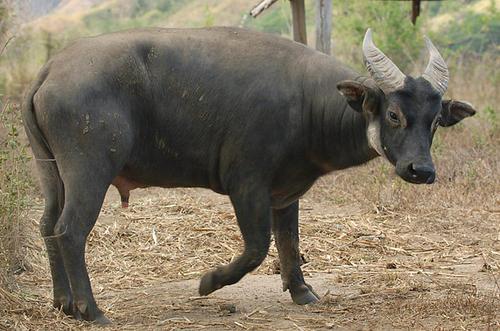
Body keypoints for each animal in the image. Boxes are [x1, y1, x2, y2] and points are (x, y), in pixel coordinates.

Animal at [22, 27, 476, 324]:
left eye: (436, 121)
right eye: (395, 114)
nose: (421, 170)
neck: (306, 105)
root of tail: (49, 72)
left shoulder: (285, 192)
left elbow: (290, 242)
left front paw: (302, 291)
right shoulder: (246, 185)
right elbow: (258, 248)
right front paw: (209, 282)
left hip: (52, 173)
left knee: (46, 225)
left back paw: (63, 303)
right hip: (89, 170)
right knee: (69, 230)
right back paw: (91, 310)